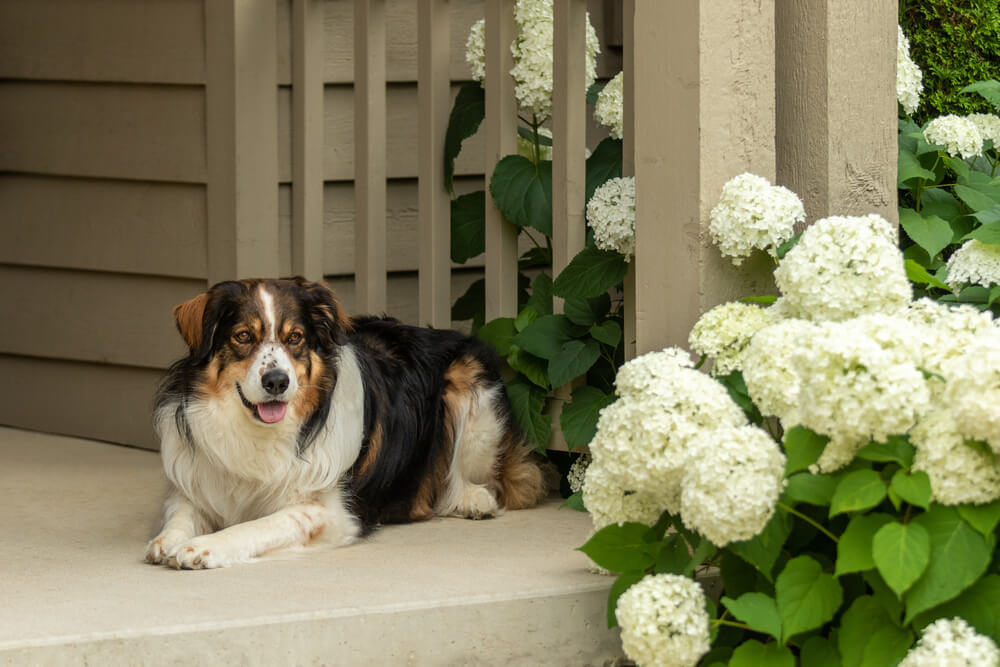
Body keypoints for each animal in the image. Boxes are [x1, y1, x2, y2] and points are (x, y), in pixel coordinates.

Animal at [146, 276, 548, 568]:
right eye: (243, 336)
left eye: (296, 338)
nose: (276, 381)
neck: (260, 432)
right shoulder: (195, 483)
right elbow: (179, 513)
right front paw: (168, 540)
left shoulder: (331, 514)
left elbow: (258, 525)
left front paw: (204, 547)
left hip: (470, 385)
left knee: (493, 480)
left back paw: (471, 499)